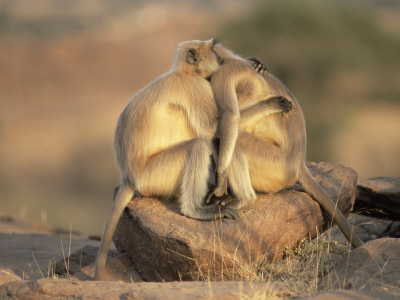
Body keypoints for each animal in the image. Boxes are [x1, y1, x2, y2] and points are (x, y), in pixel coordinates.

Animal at [95, 38, 292, 280]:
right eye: (213, 50)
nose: (219, 58)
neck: (184, 72)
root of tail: (128, 177)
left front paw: (255, 63)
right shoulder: (194, 87)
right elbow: (214, 128)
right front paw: (272, 104)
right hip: (153, 176)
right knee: (198, 145)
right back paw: (195, 211)